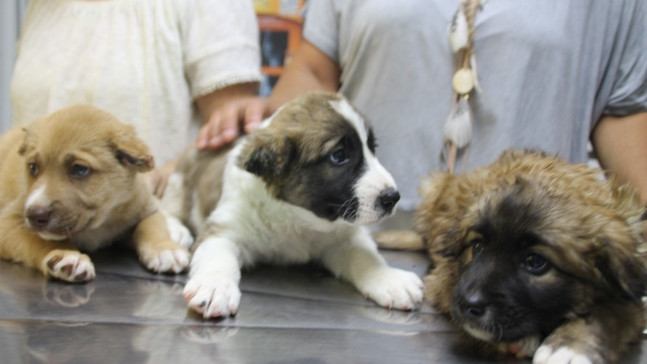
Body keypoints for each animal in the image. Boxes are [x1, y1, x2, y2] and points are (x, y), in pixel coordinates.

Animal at [0, 105, 190, 282]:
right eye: (33, 167)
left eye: (79, 169)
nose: (34, 215)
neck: (98, 223)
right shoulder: (8, 221)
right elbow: (39, 240)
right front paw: (65, 255)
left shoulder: (142, 208)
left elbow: (152, 226)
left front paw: (165, 249)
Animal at [162, 91, 426, 318]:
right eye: (339, 156)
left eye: (372, 148)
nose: (392, 197)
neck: (296, 218)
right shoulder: (225, 229)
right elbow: (217, 257)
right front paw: (214, 286)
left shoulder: (344, 237)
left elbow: (366, 256)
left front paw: (388, 278)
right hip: (179, 182)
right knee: (170, 208)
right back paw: (175, 230)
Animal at [380, 149, 647, 364]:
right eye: (477, 246)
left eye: (536, 262)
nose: (468, 303)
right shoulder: (445, 279)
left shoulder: (631, 301)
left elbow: (612, 313)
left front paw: (569, 346)